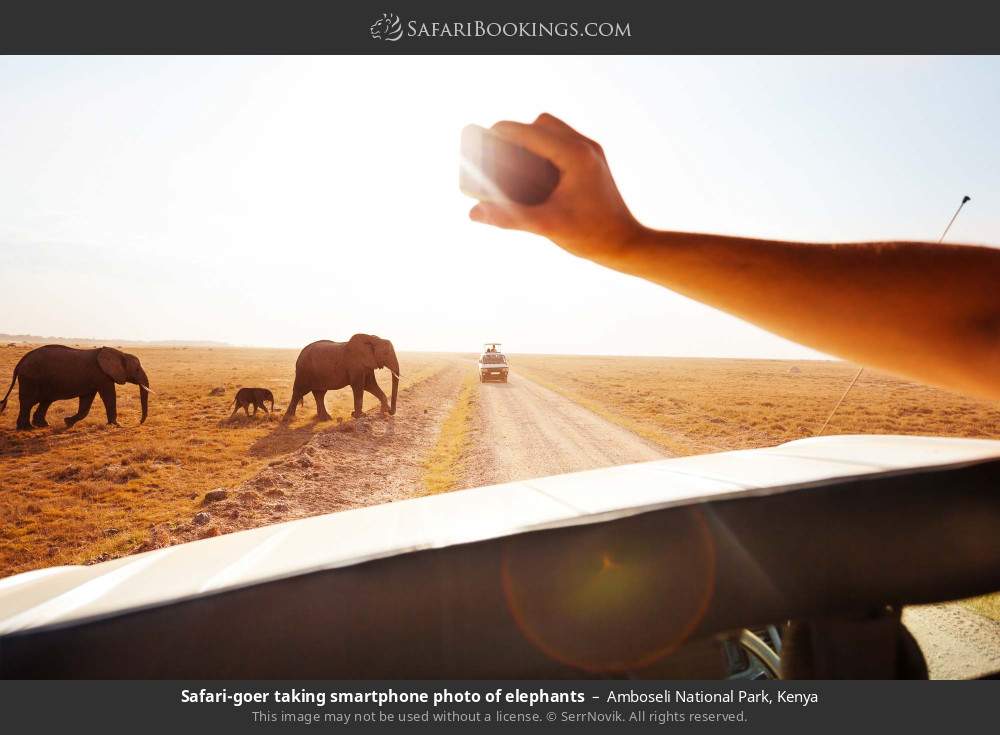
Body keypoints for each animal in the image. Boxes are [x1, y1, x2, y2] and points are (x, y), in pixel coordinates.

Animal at [0, 346, 152, 432]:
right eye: (137, 369)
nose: (138, 423)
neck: (121, 353)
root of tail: (20, 362)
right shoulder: (102, 376)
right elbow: (109, 396)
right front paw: (116, 425)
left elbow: (86, 402)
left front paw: (67, 422)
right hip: (30, 379)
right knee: (28, 402)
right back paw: (27, 428)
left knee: (45, 401)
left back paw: (43, 425)